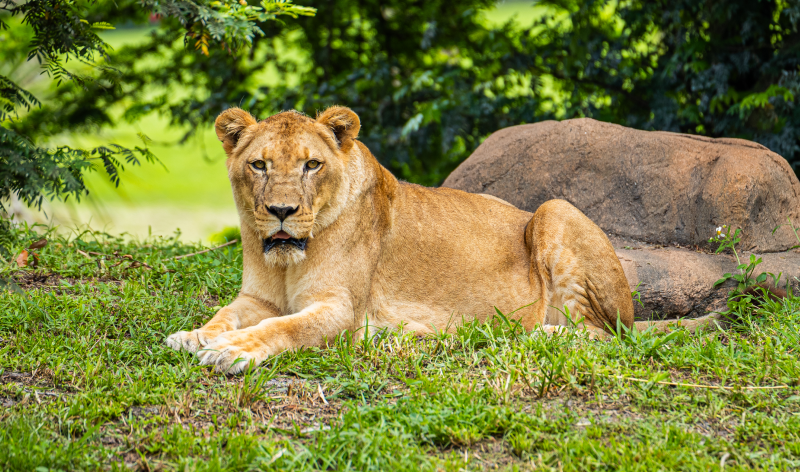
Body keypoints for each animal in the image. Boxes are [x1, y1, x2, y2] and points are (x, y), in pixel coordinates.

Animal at [166, 106, 720, 373]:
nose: (281, 212)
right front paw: (195, 336)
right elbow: (225, 314)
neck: (286, 261)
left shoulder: (341, 309)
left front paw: (230, 352)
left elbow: (284, 328)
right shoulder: (255, 297)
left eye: (312, 165)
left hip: (554, 210)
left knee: (601, 335)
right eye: (259, 165)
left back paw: (530, 334)